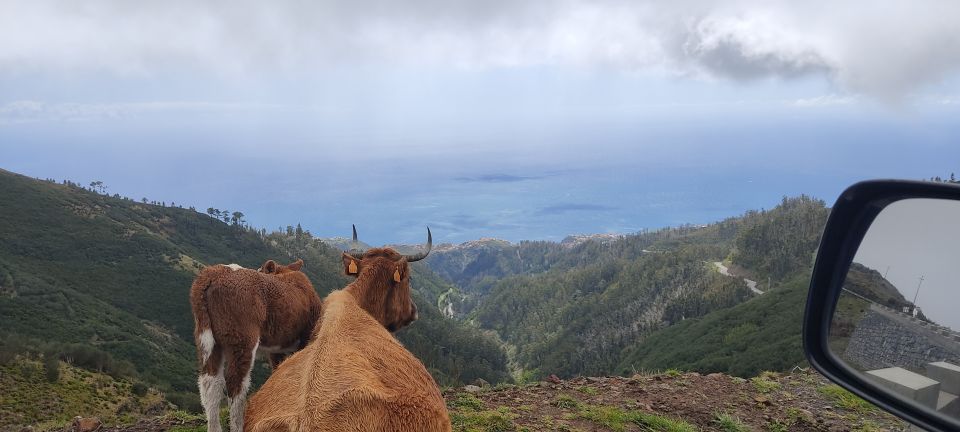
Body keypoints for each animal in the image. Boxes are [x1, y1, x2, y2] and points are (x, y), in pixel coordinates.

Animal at [190, 260, 322, 432]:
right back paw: (238, 425)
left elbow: (278, 372)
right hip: (243, 339)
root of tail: (215, 272)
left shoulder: (276, 350)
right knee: (235, 383)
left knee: (210, 381)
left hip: (208, 340)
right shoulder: (306, 338)